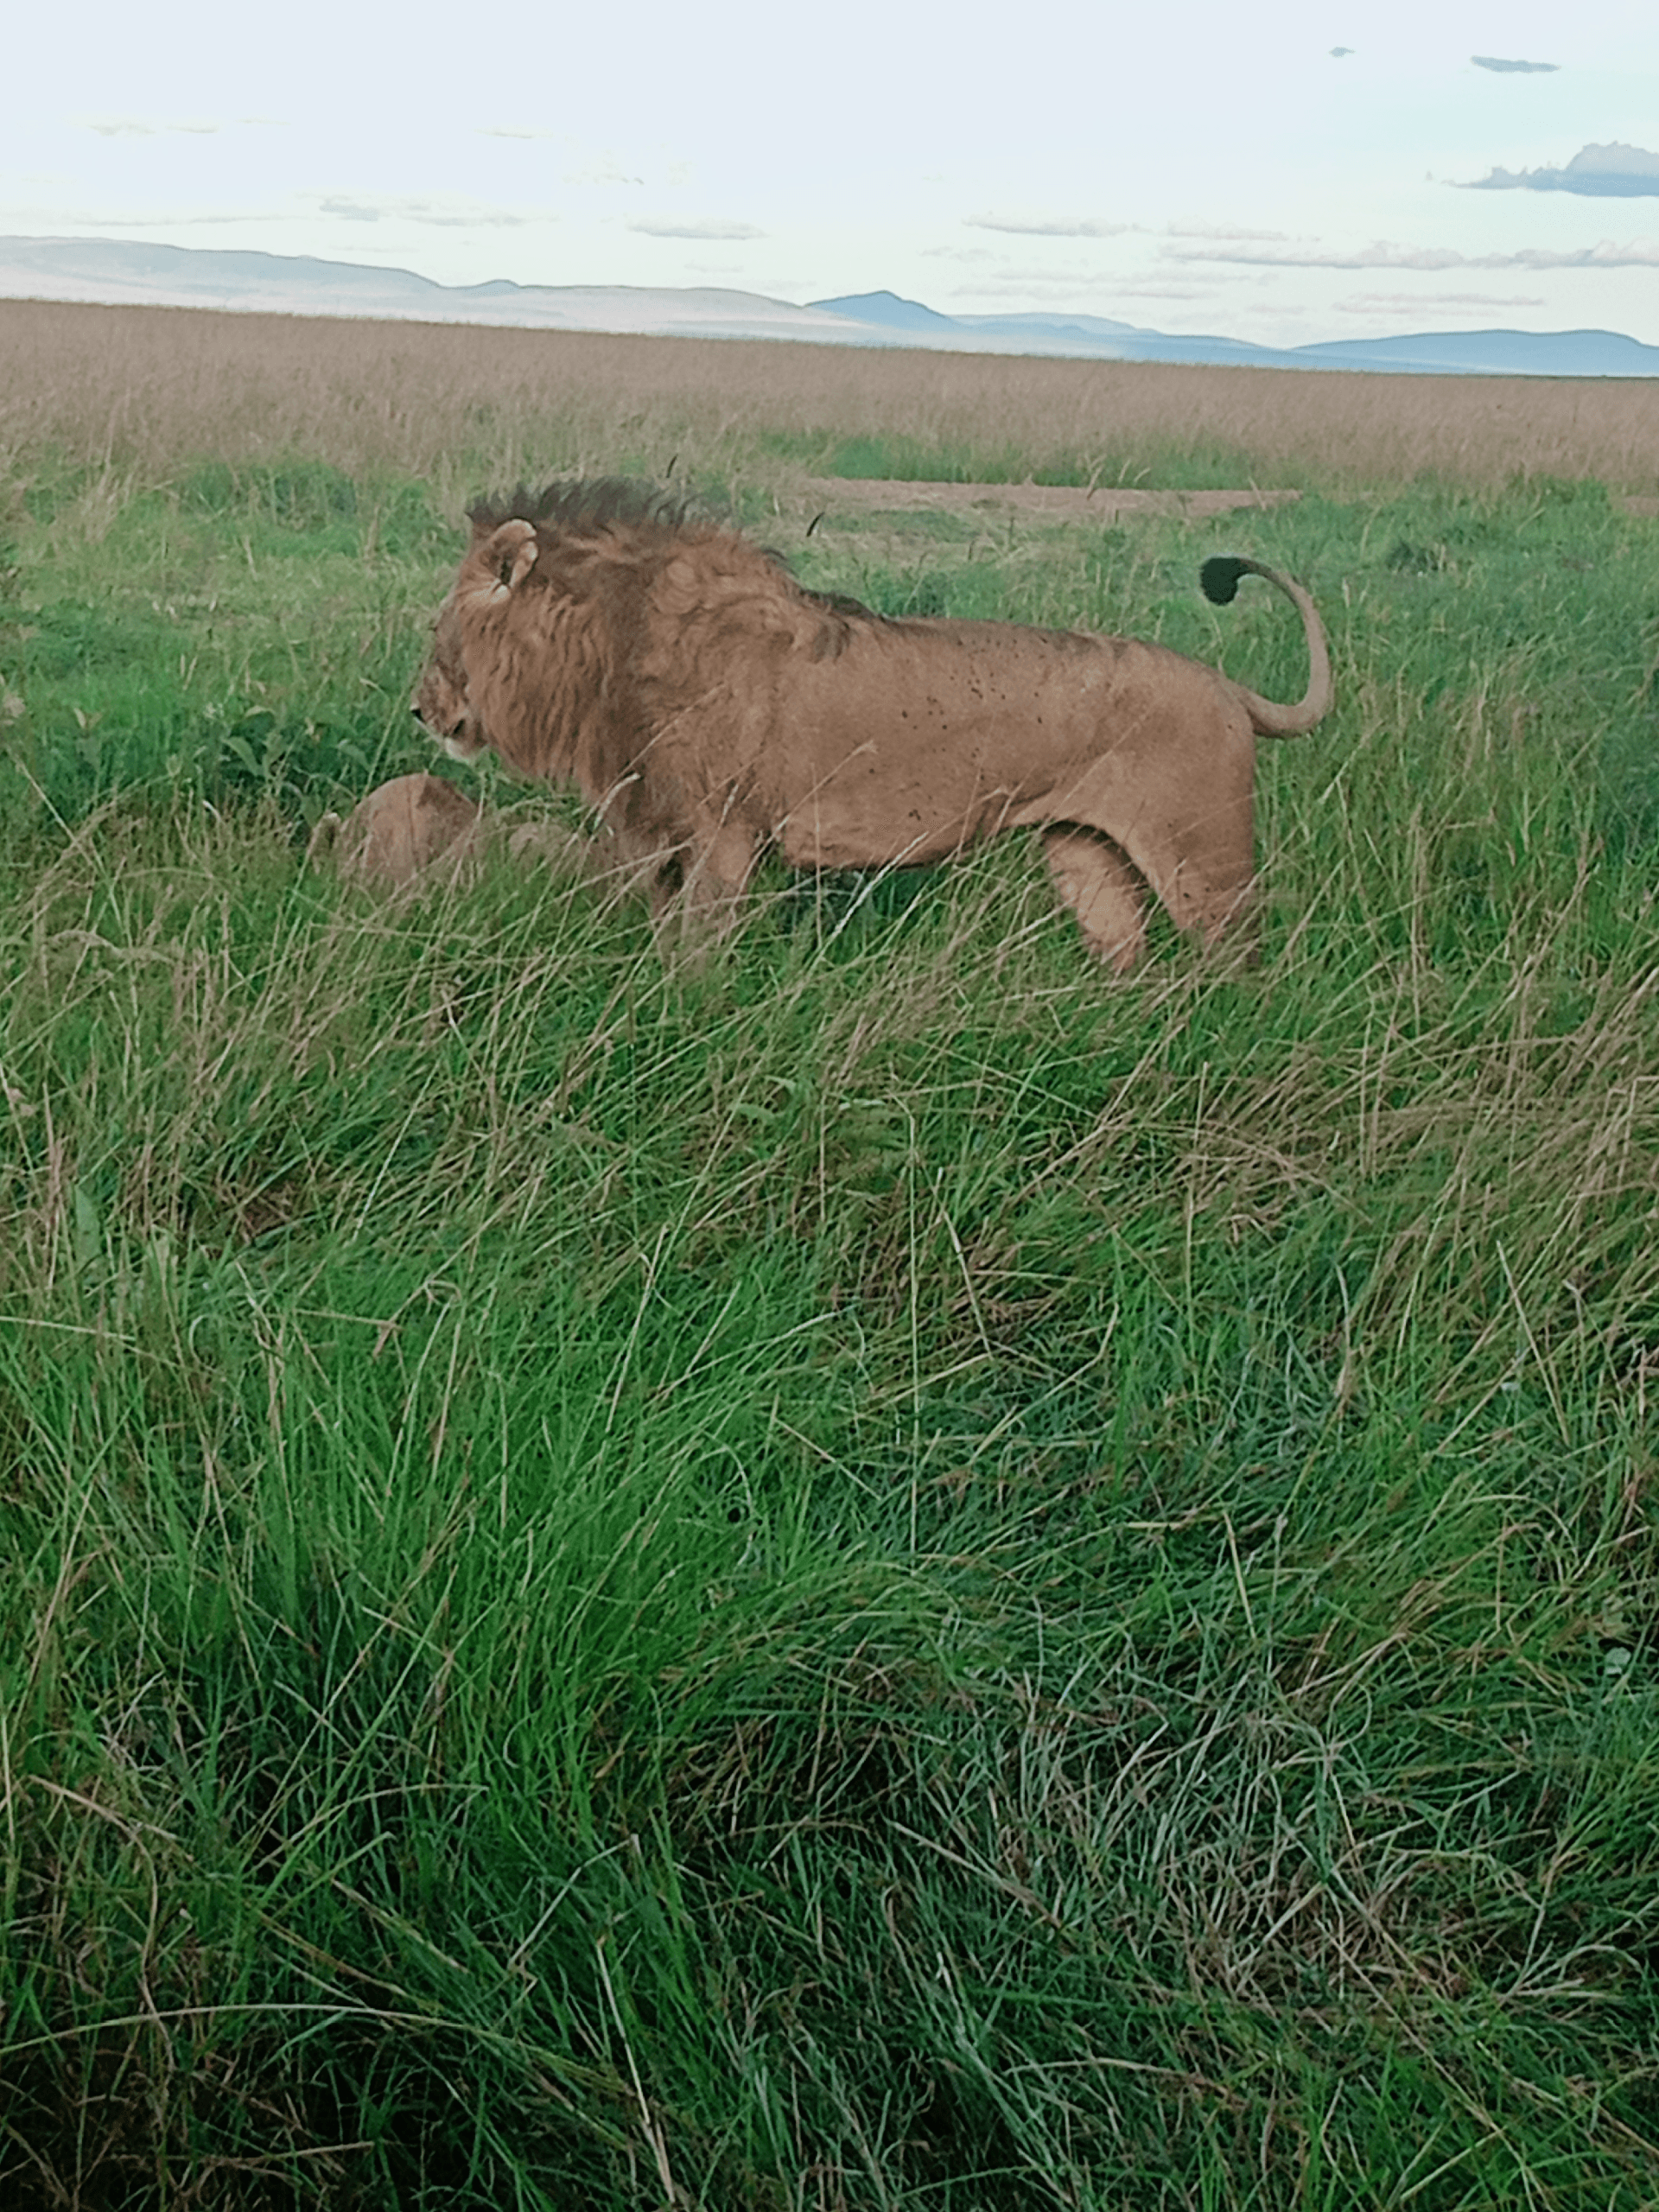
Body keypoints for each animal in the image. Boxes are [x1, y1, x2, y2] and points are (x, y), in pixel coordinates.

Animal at [413, 480, 1333, 969]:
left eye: (434, 628)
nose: (420, 710)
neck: (614, 645)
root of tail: (1232, 689)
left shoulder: (722, 836)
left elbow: (697, 953)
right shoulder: (658, 835)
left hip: (1205, 863)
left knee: (1243, 968)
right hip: (1086, 854)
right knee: (1130, 959)